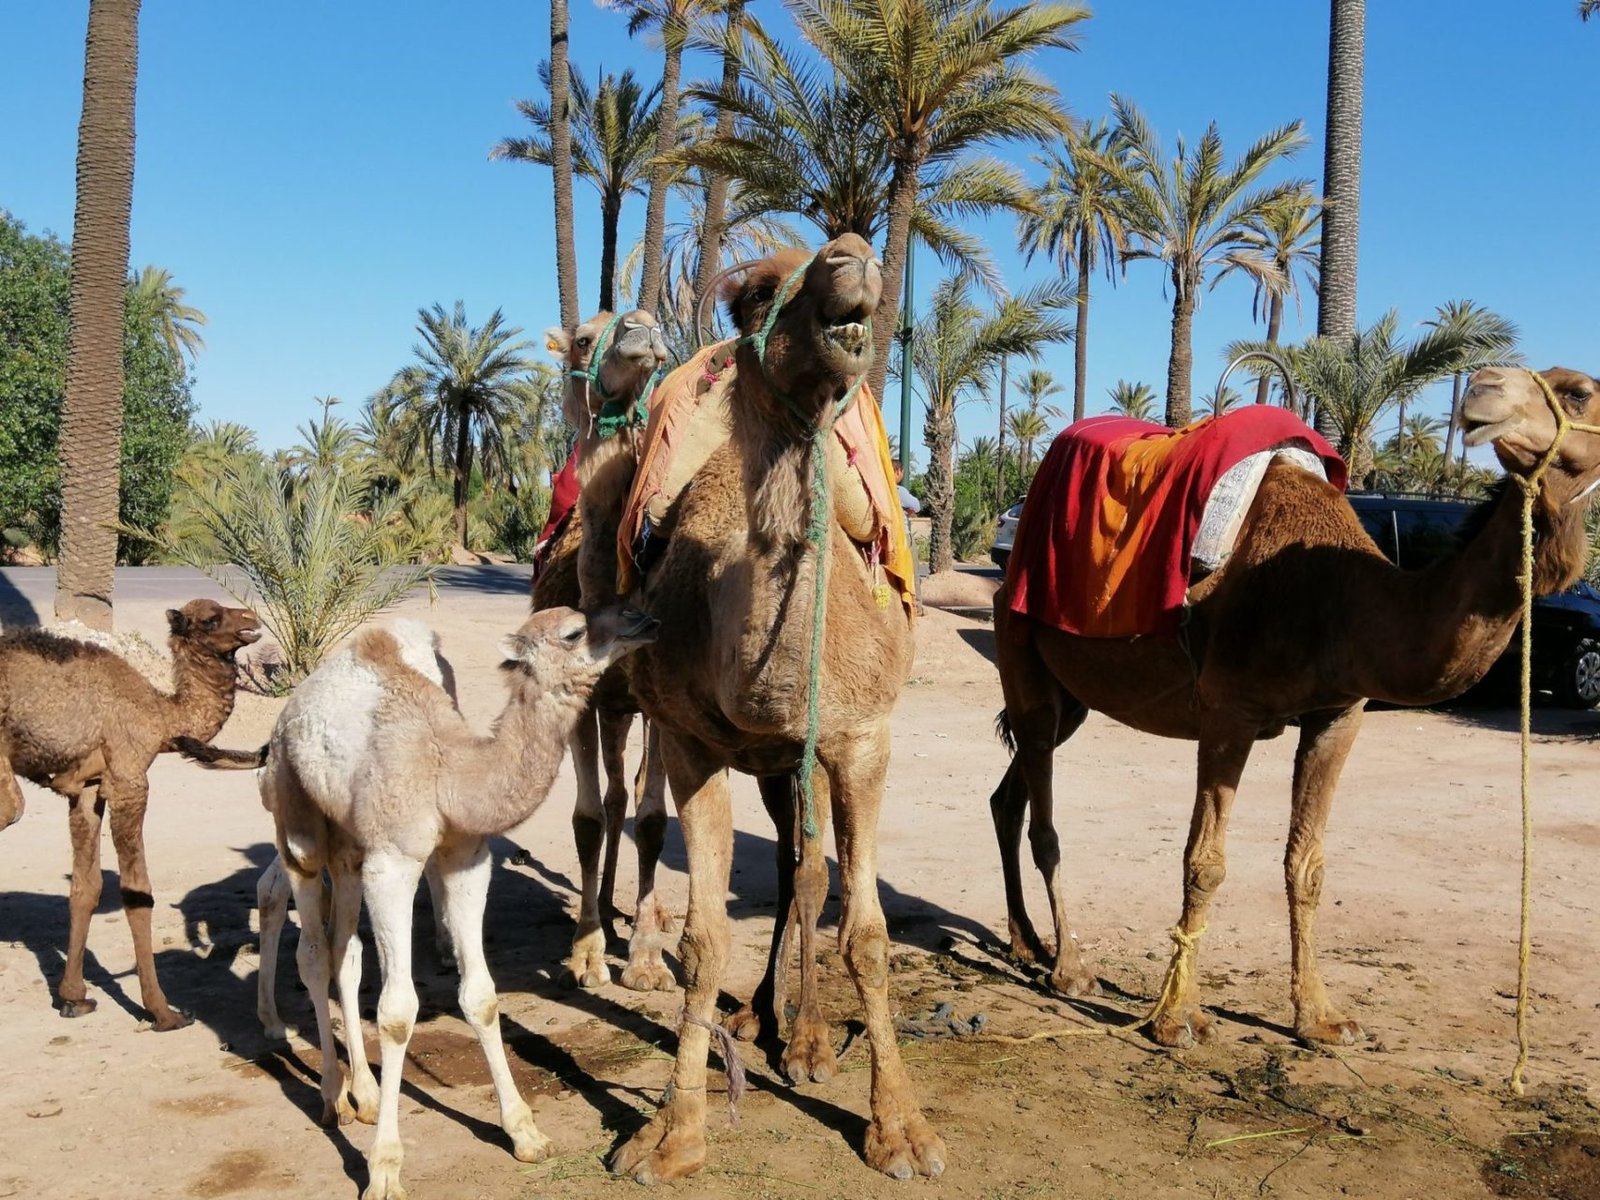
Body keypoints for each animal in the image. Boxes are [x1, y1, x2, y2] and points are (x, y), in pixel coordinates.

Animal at [0, 598, 261, 1028]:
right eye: (211, 619)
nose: (251, 619)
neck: (160, 716)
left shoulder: (89, 789)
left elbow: (86, 887)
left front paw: (74, 998)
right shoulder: (129, 781)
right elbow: (138, 894)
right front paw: (164, 1012)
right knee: (15, 807)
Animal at [186, 605, 658, 1200]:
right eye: (574, 631)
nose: (643, 620)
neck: (449, 774)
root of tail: (290, 709)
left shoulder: (465, 858)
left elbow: (481, 996)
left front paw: (524, 1132)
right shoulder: (393, 861)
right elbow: (396, 1013)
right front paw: (385, 1168)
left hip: (349, 847)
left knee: (343, 953)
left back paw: (363, 1093)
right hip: (302, 829)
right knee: (311, 951)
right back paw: (331, 1095)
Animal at [610, 233, 944, 1184]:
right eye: (755, 296)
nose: (853, 256)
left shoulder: (860, 739)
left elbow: (867, 934)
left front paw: (901, 1131)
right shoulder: (689, 742)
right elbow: (701, 943)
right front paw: (672, 1133)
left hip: (805, 761)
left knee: (808, 874)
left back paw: (804, 1038)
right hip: (764, 764)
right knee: (794, 869)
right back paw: (764, 1018)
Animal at [990, 365, 1600, 1049]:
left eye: (1580, 392)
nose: (1483, 389)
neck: (1340, 601)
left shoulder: (1340, 713)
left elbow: (1306, 866)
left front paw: (1322, 1019)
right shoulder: (1228, 710)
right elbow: (1204, 861)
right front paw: (1177, 1019)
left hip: (1072, 698)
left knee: (1009, 797)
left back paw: (1027, 942)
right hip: (1021, 650)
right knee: (1043, 817)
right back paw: (1070, 967)